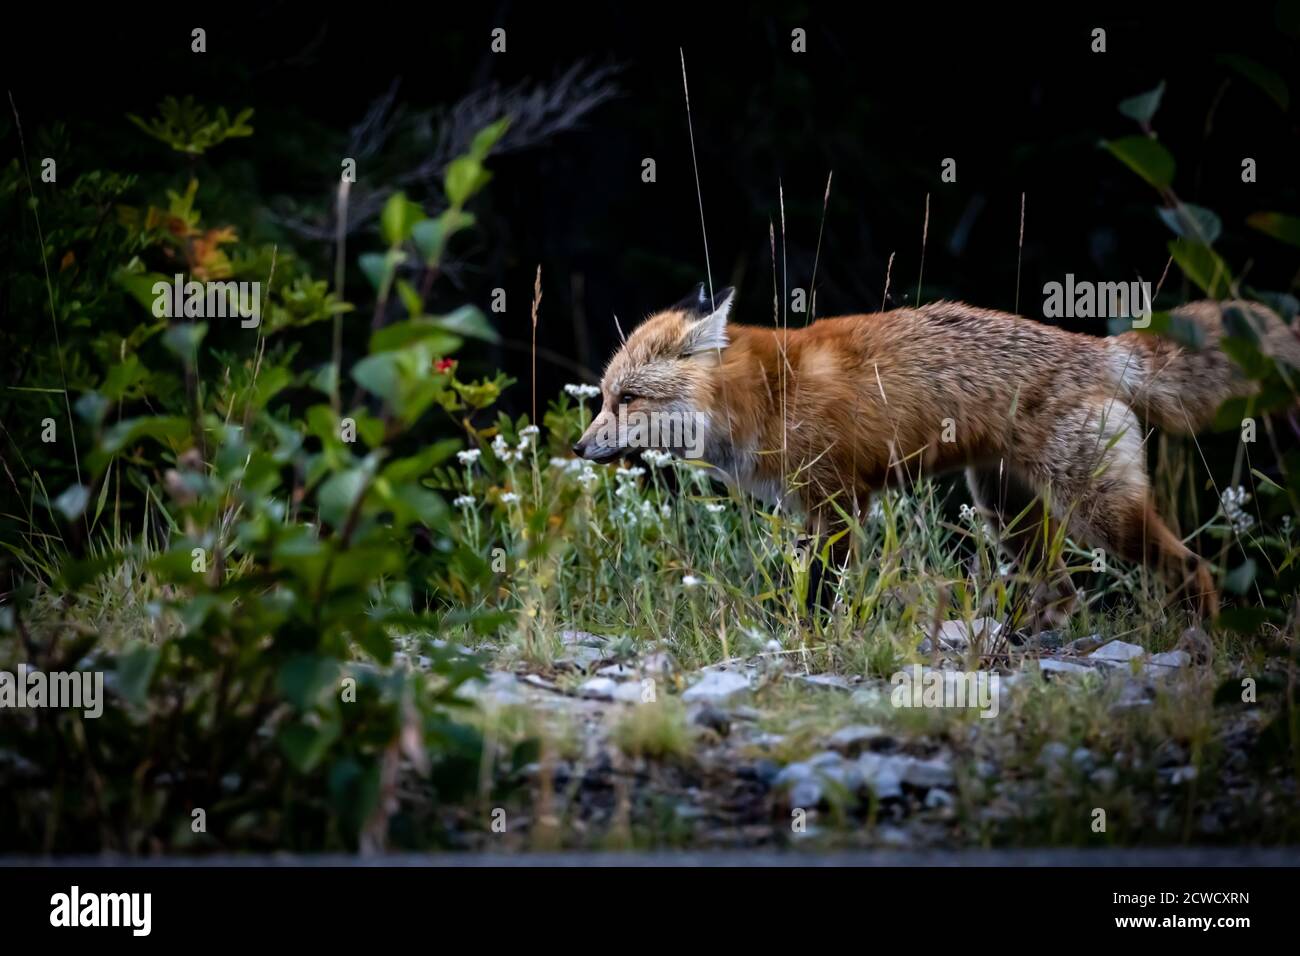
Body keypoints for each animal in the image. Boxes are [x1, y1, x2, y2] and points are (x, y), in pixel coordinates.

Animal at [573, 283, 1300, 624]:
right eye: (603, 398)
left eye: (629, 399)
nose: (579, 447)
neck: (761, 396)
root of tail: (1097, 349)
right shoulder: (816, 507)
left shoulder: (839, 501)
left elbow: (819, 592)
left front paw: (804, 637)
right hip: (1008, 516)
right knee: (1065, 594)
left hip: (1097, 513)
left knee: (1194, 568)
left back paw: (1201, 645)